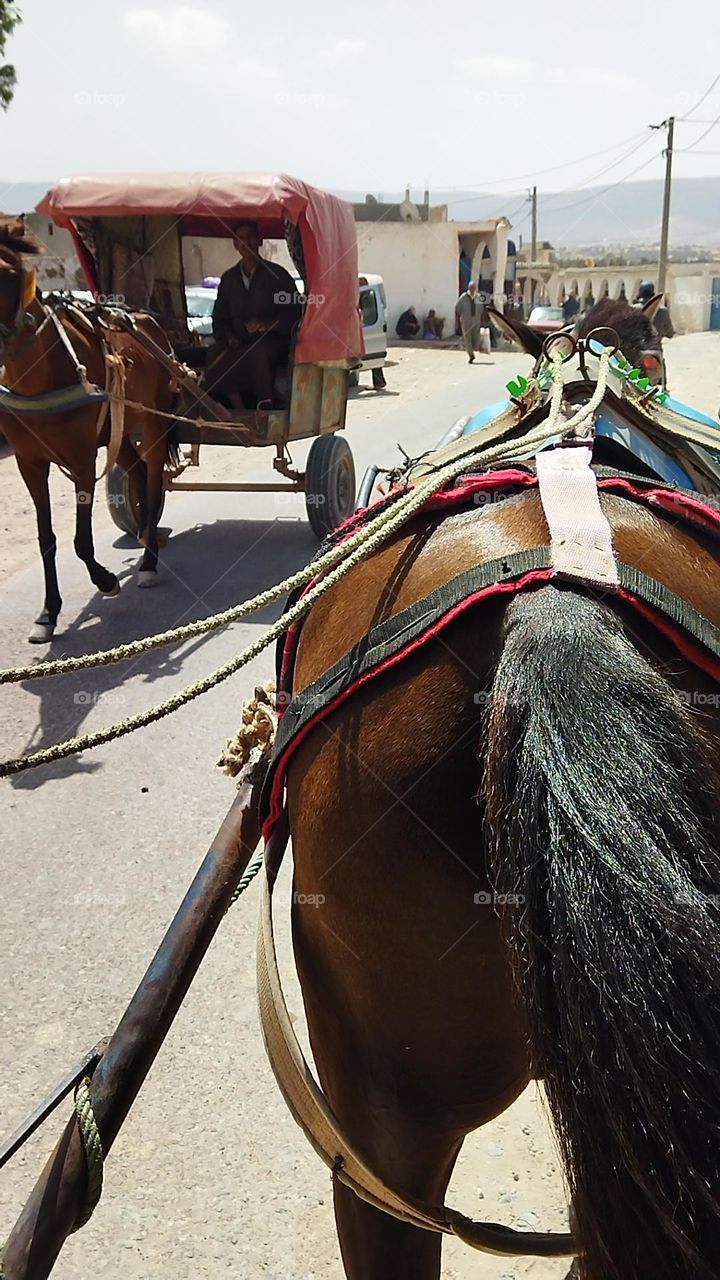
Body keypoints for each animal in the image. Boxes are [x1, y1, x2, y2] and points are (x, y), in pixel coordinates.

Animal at [0, 220, 176, 645]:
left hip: (153, 423)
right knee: (138, 472)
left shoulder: (81, 459)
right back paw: (144, 532)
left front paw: (106, 580)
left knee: (153, 478)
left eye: (9, 275)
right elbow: (46, 538)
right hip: (119, 431)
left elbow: (81, 541)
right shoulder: (29, 463)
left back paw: (148, 561)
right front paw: (48, 613)